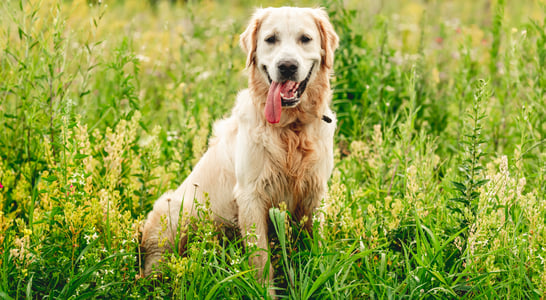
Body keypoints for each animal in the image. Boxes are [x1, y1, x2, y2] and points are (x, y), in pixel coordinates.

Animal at [140, 5, 336, 284]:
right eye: (271, 39)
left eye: (305, 39)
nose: (287, 66)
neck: (291, 129)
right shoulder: (250, 195)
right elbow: (261, 260)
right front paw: (265, 290)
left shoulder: (315, 192)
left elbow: (316, 247)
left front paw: (321, 279)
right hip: (172, 210)